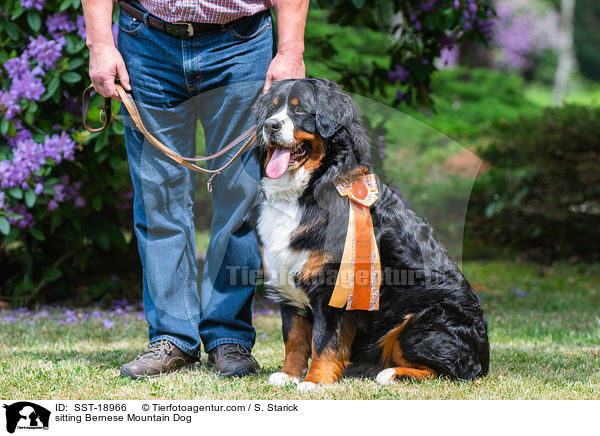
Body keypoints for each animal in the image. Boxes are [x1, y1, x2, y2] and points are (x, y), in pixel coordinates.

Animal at [251, 77, 490, 392]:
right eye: (273, 109)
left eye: (299, 109)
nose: (271, 126)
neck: (308, 190)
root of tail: (484, 358)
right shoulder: (287, 277)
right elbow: (294, 338)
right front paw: (289, 375)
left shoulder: (333, 285)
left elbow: (324, 340)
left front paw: (315, 381)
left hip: (424, 321)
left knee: (452, 371)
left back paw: (391, 373)